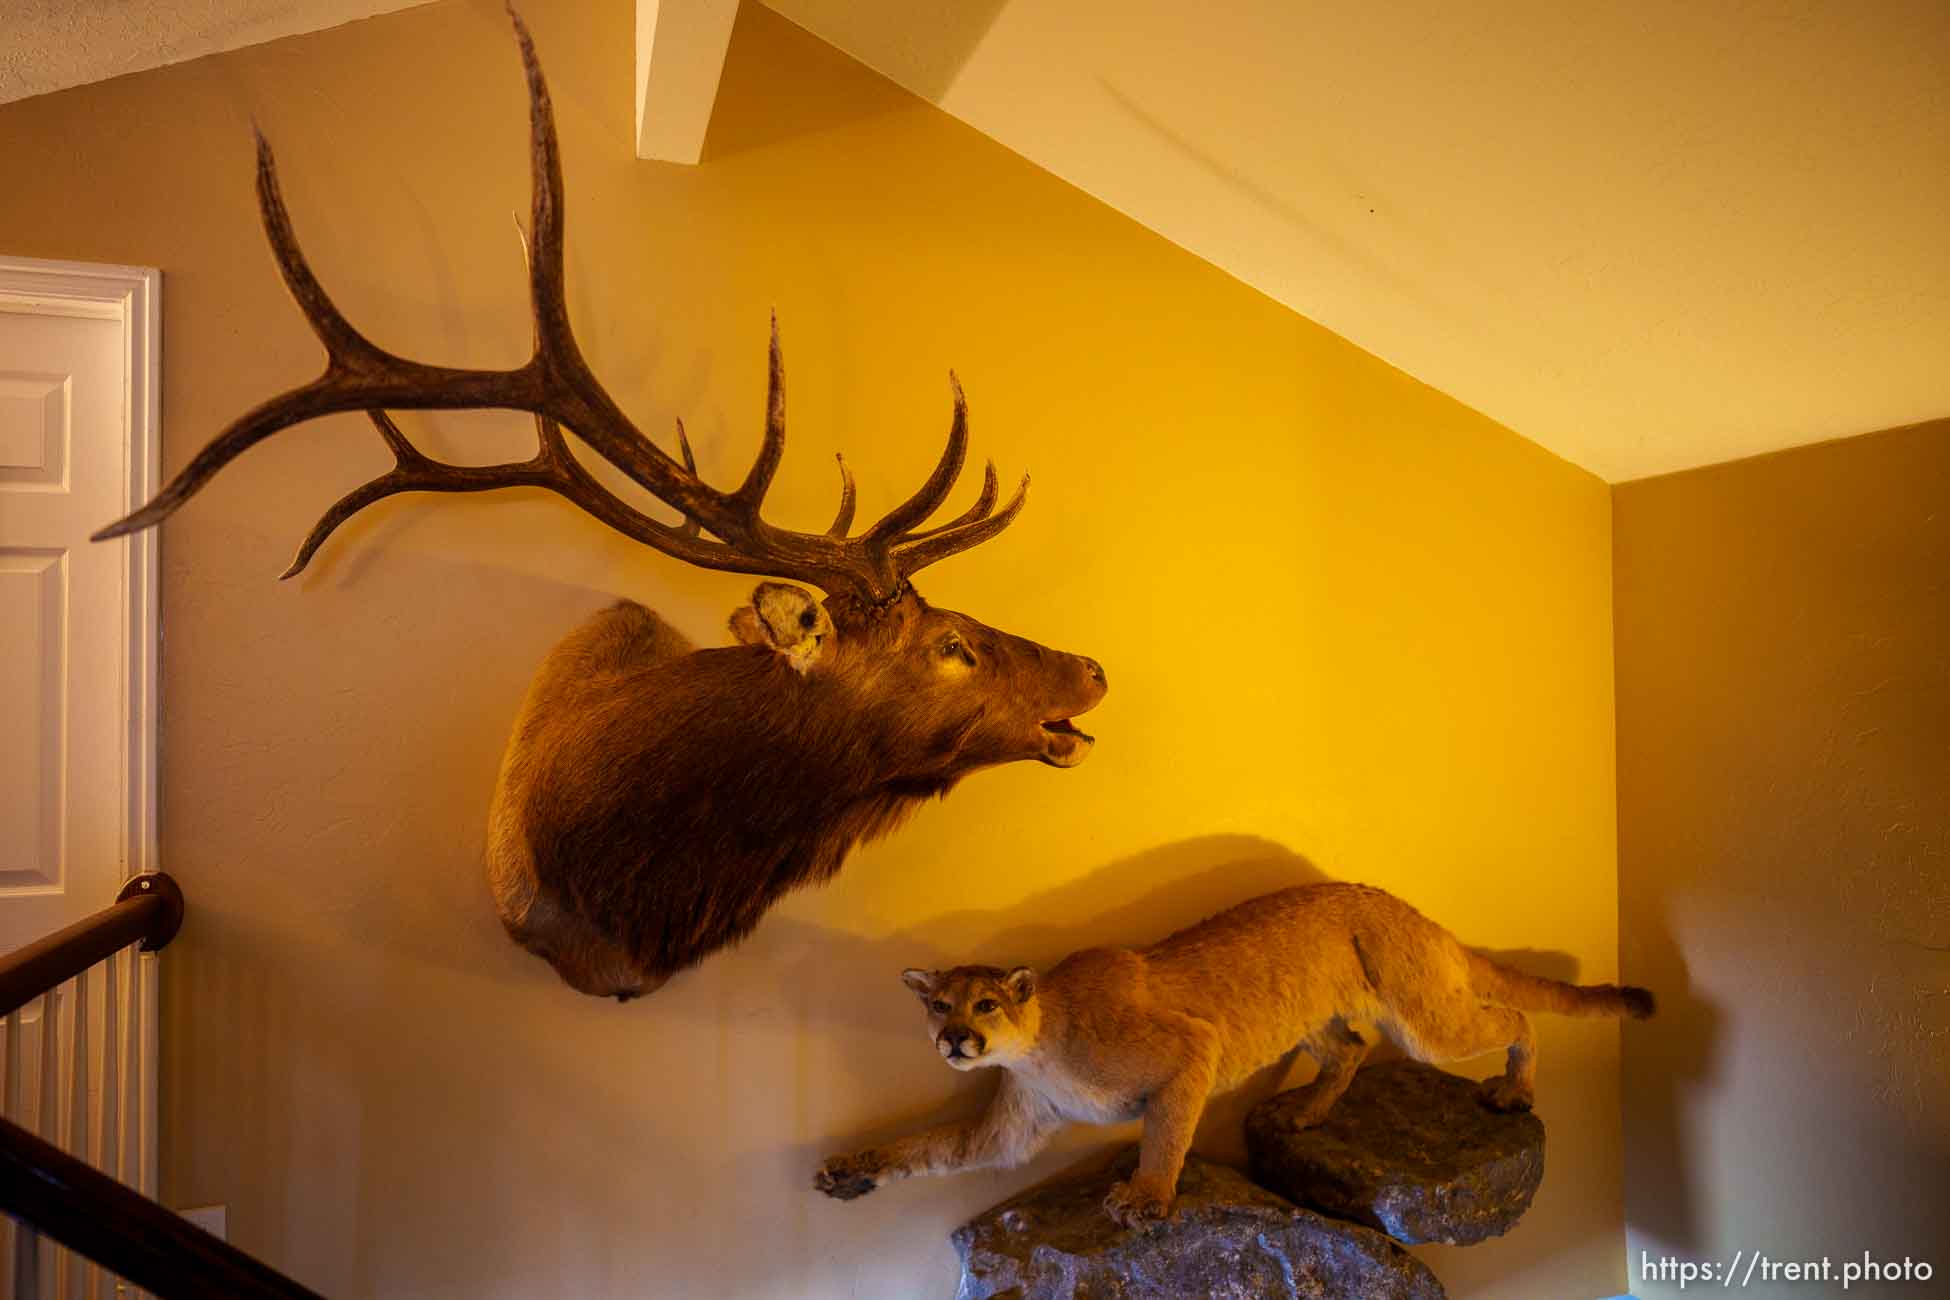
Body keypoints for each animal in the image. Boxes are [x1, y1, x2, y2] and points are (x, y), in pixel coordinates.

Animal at [815, 880, 1653, 1223]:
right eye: (937, 1004)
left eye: (985, 1005)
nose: (956, 1040)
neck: (1036, 1044)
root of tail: (1411, 911)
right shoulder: (1012, 1127)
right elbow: (931, 1146)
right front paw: (851, 1168)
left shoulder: (1191, 1050)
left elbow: (1165, 1132)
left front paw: (1146, 1197)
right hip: (1312, 1014)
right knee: (1349, 1048)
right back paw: (1304, 1114)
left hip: (1424, 1018)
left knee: (1509, 1011)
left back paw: (1515, 1088)